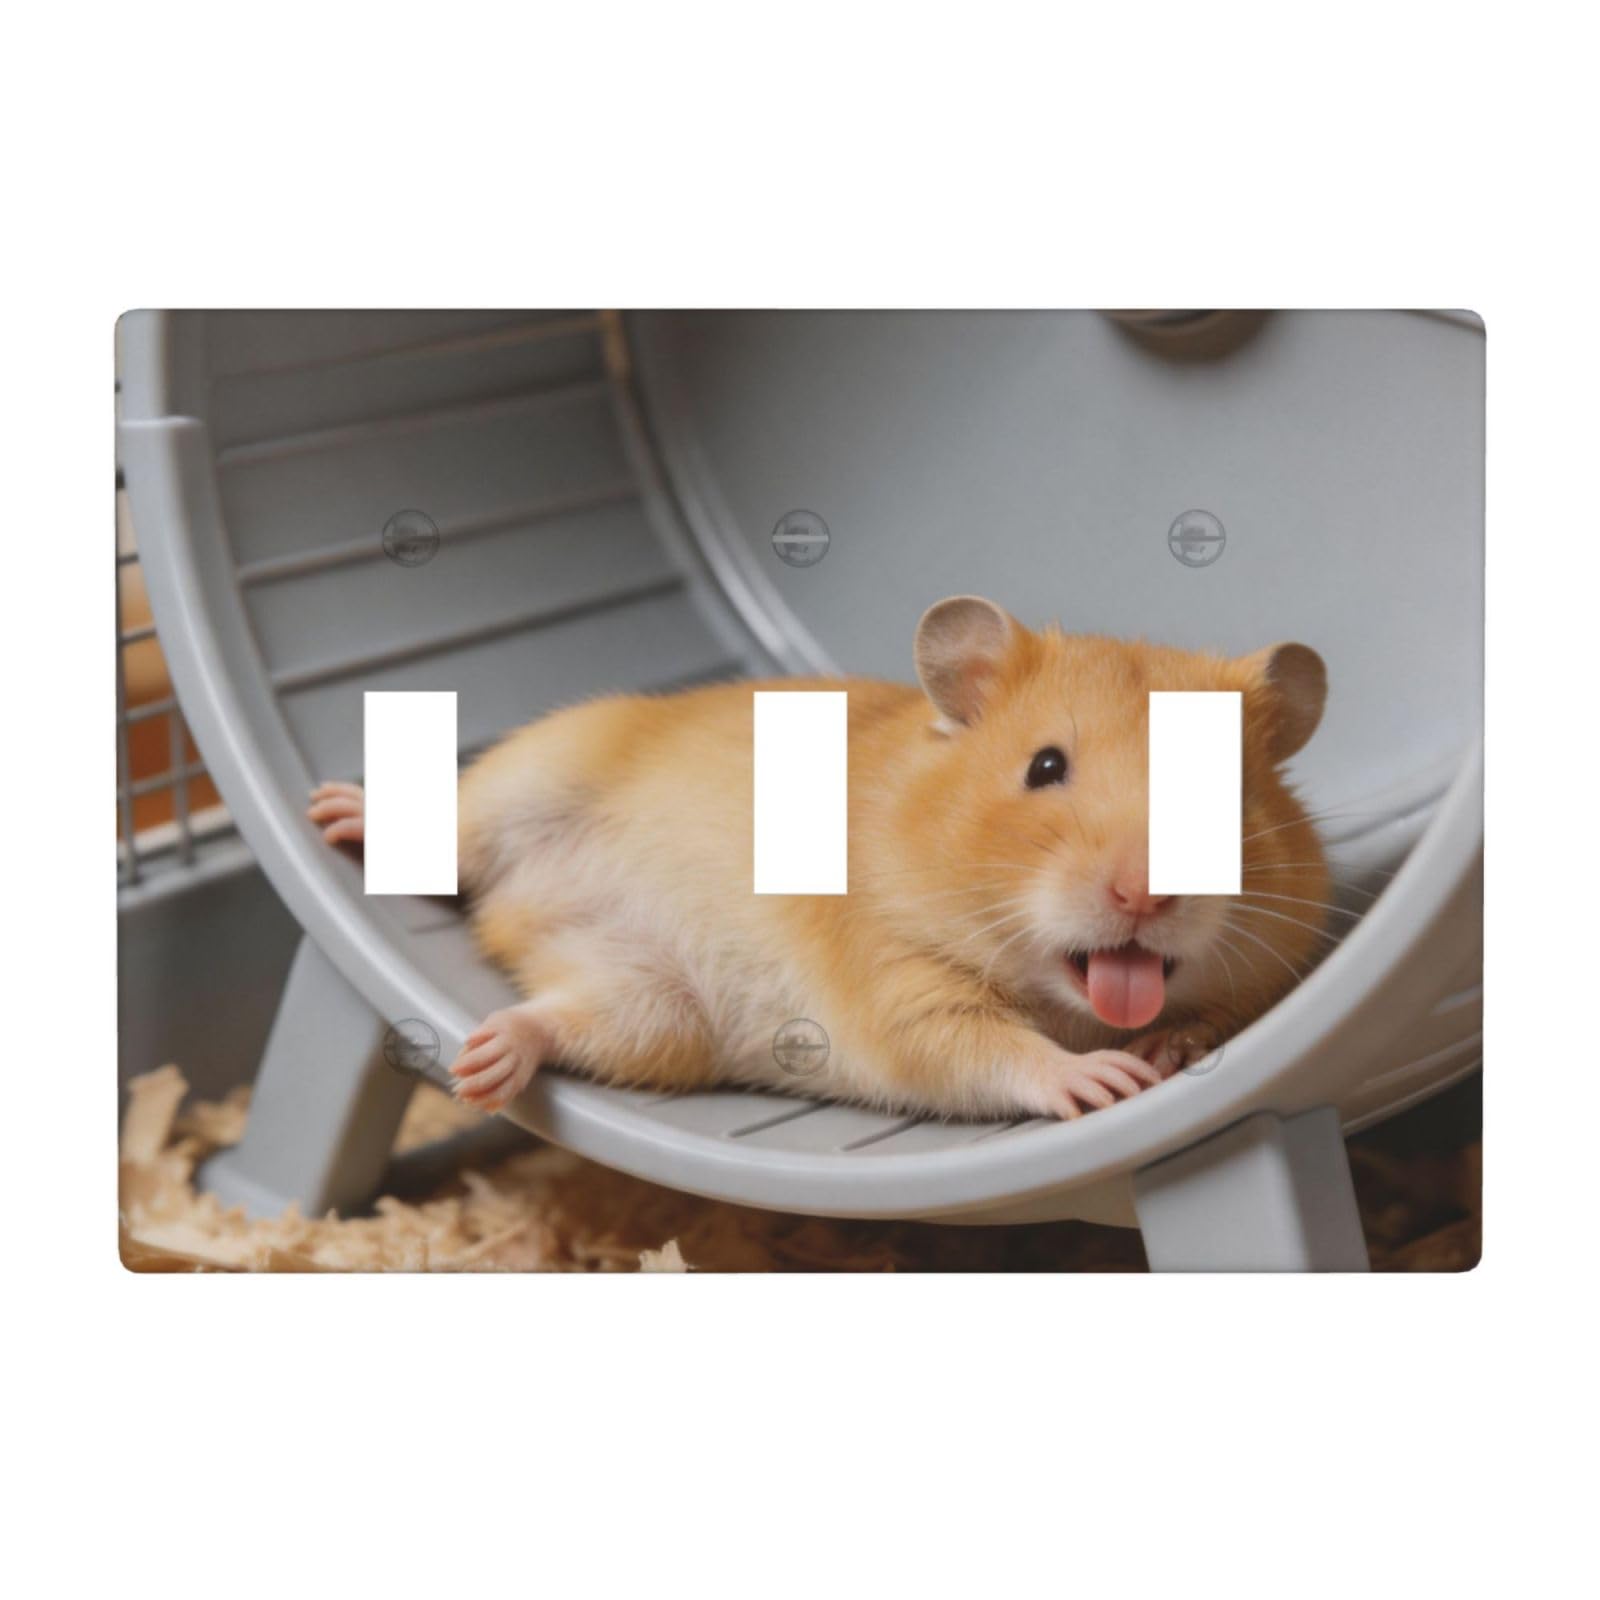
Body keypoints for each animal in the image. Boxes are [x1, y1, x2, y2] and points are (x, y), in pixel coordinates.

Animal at [308, 595, 1331, 1122]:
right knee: (447, 838)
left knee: (552, 1021)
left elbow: (1214, 1017)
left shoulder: (1269, 978)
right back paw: (335, 814)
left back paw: (485, 1063)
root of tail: (512, 918)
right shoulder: (895, 980)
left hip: (653, 1013)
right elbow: (992, 1047)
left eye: (1232, 791)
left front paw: (1164, 1051)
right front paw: (1108, 1083)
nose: (1146, 894)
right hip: (533, 773)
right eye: (1044, 768)